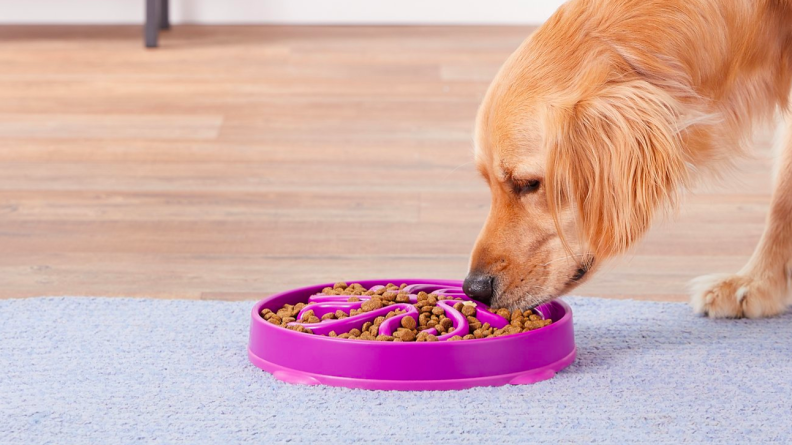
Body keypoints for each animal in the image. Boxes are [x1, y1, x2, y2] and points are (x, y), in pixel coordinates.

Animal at [464, 0, 792, 320]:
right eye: (488, 183)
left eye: (528, 184)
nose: (474, 288)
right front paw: (759, 283)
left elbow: (781, 200)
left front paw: (756, 282)